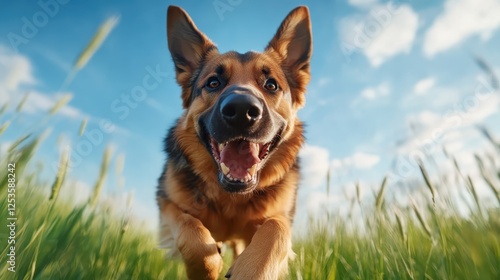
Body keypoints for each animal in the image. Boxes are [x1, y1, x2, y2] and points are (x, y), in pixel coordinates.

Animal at [157, 4, 312, 280]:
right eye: (213, 82)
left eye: (271, 84)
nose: (242, 111)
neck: (231, 200)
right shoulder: (167, 205)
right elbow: (191, 231)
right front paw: (206, 268)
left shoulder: (278, 217)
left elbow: (276, 228)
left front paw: (250, 270)